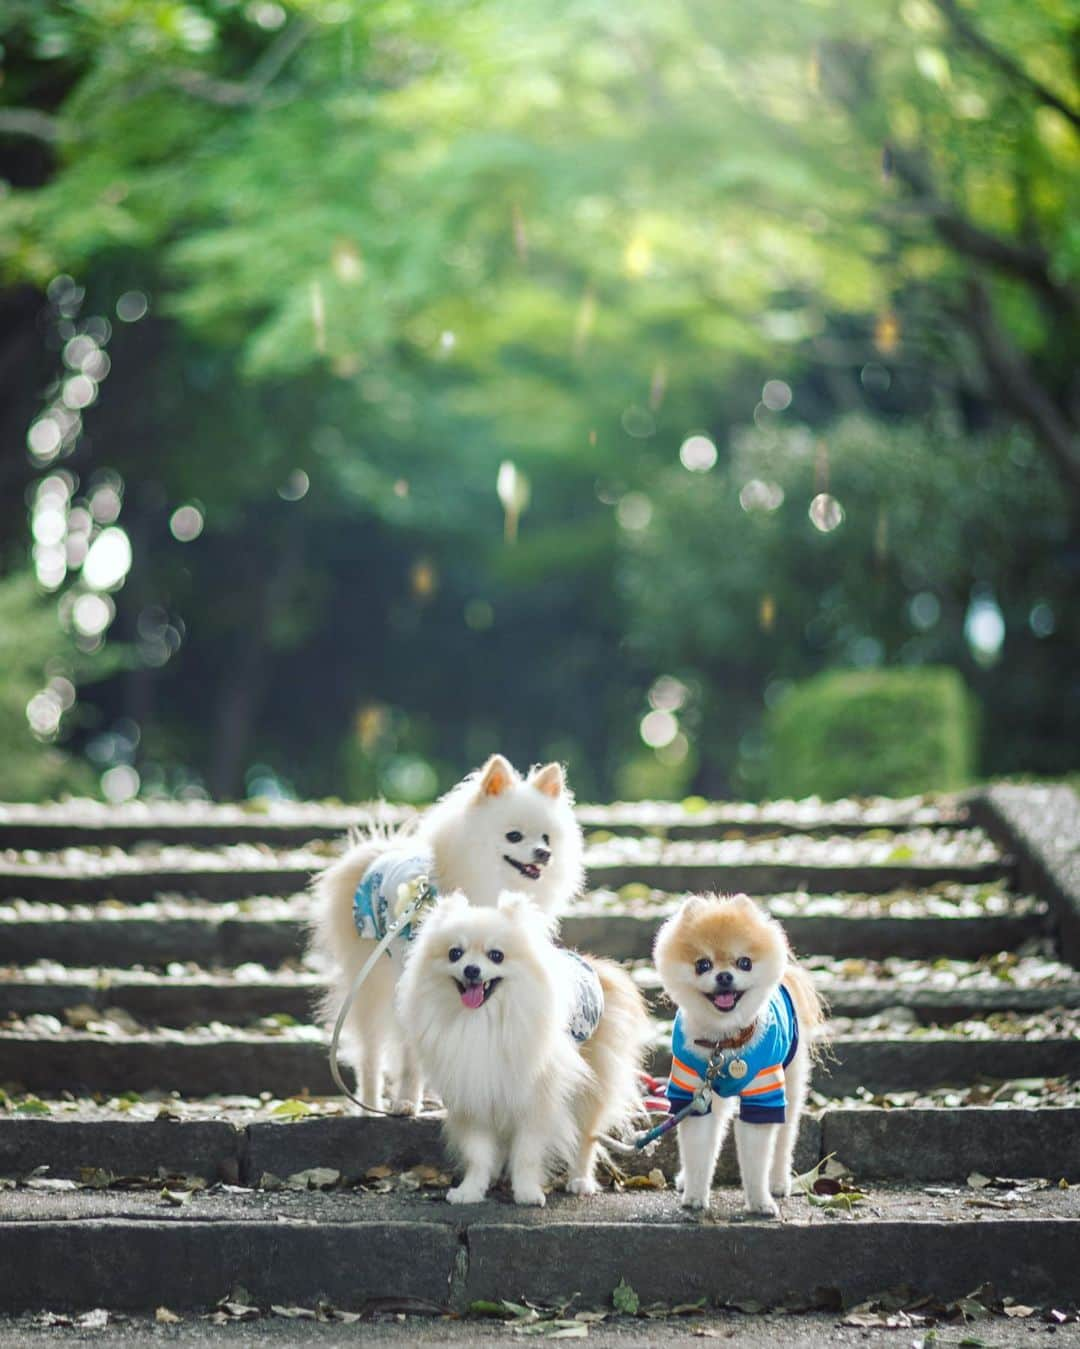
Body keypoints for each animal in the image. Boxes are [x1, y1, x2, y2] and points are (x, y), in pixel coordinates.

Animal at [303, 755, 582, 1111]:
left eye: (546, 838)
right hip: (370, 982)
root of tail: (378, 854)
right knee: (370, 1051)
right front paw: (407, 1102)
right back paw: (370, 1101)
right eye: (514, 836)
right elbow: (410, 1054)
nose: (544, 854)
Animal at [396, 890, 649, 1208]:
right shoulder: (473, 1093)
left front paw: (527, 1192)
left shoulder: (536, 1099)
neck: (483, 1021)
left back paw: (580, 1180)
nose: (471, 969)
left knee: (586, 1137)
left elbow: (528, 1152)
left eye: (496, 955)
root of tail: (593, 965)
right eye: (455, 953)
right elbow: (477, 1153)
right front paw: (471, 1189)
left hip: (591, 1085)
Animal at [649, 890, 825, 1219]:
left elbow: (756, 1159)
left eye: (745, 963)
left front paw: (760, 1201)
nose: (724, 976)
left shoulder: (763, 1094)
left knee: (785, 1138)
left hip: (790, 1084)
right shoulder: (693, 1092)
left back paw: (779, 1182)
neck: (724, 1044)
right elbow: (698, 1150)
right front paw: (695, 1195)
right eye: (702, 965)